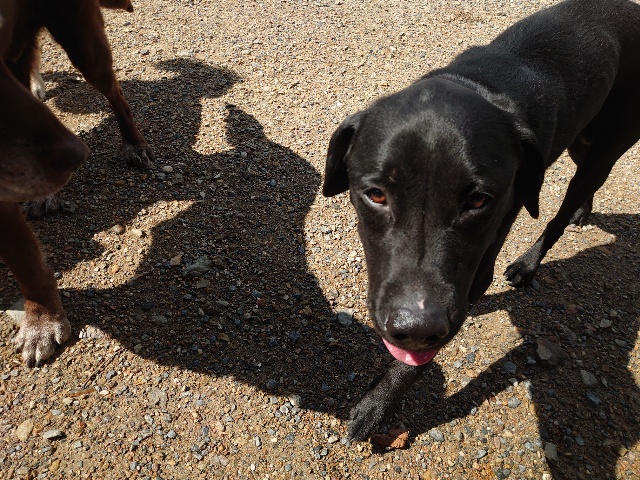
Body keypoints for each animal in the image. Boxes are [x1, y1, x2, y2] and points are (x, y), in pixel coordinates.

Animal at [323, 0, 640, 440]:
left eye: (478, 201)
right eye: (376, 194)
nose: (415, 325)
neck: (477, 85)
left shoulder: (474, 272)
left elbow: (415, 362)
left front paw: (378, 404)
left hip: (604, 149)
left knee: (557, 217)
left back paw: (530, 262)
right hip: (584, 139)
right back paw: (583, 210)